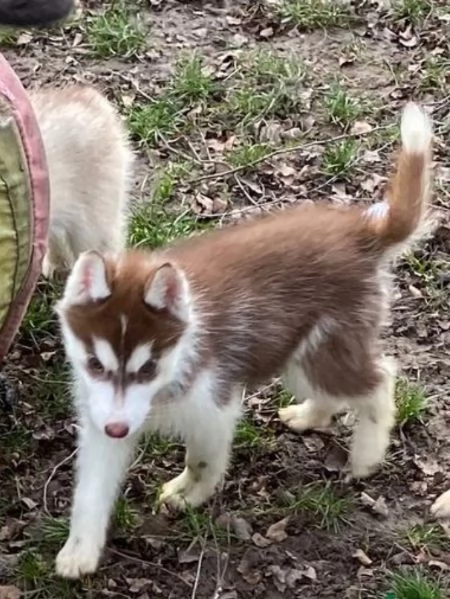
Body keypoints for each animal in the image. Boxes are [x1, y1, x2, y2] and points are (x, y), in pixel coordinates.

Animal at [55, 103, 432, 580]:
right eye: (95, 364)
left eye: (148, 367)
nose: (119, 427)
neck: (165, 385)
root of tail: (361, 230)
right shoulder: (101, 416)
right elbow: (90, 490)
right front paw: (79, 550)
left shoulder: (214, 406)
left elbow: (202, 458)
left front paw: (190, 493)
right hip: (296, 354)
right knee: (336, 389)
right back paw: (309, 416)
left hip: (324, 350)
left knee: (381, 380)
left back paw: (366, 455)